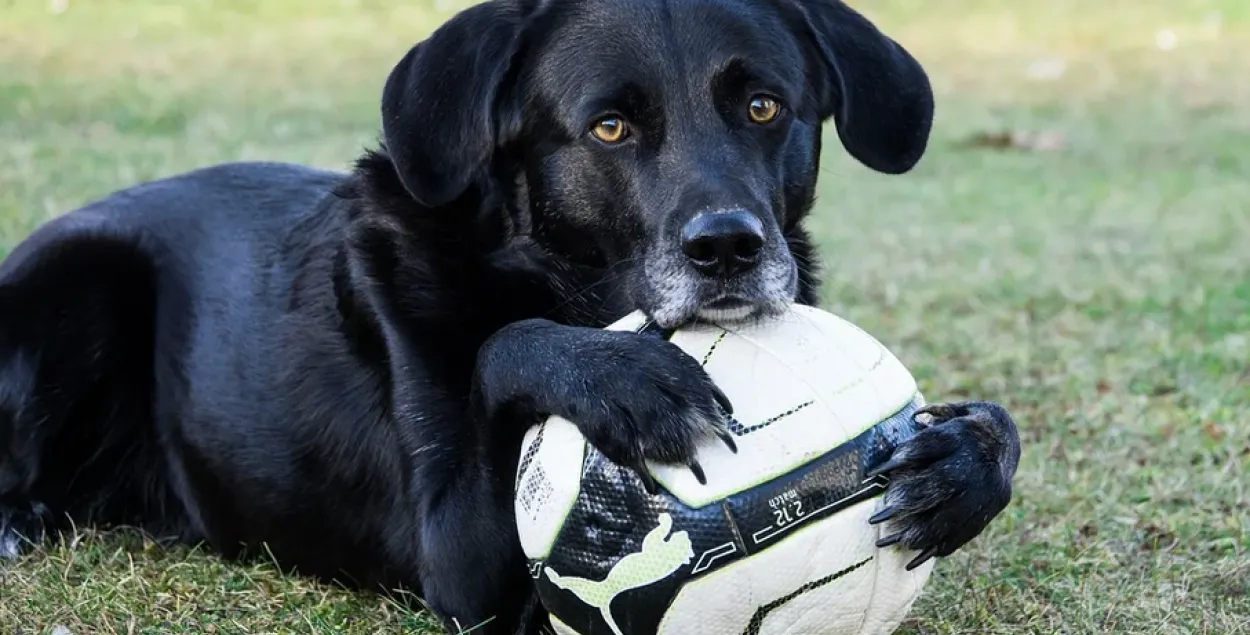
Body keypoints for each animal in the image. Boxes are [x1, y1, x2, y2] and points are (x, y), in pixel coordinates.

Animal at [0, 0, 1015, 630]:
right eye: (610, 127)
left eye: (765, 106)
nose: (729, 247)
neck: (559, 281)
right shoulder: (462, 563)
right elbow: (502, 343)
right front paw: (625, 380)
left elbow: (997, 425)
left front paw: (961, 463)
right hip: (76, 279)